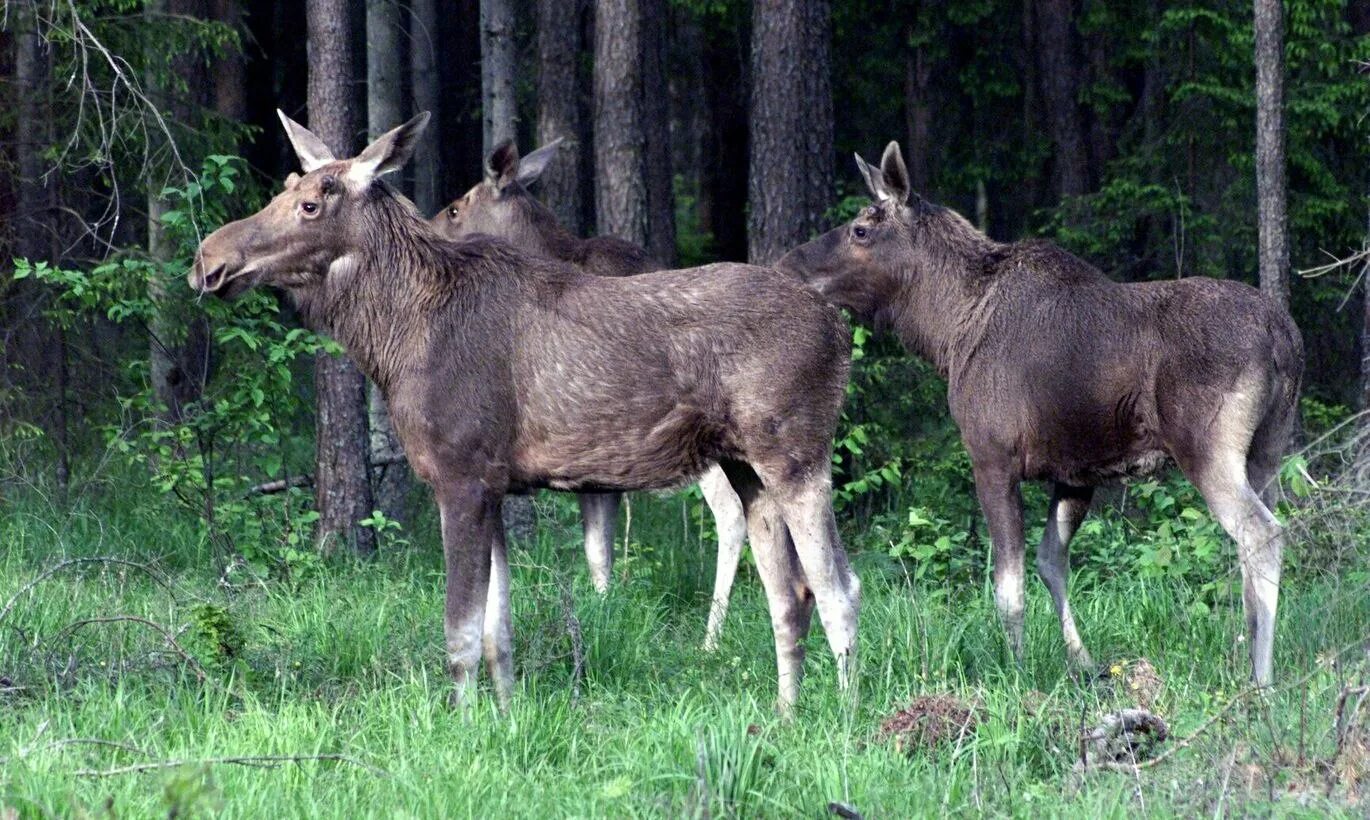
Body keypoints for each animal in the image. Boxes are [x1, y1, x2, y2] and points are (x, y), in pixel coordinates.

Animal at [778, 141, 1298, 687]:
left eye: (861, 228)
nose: (788, 266)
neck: (946, 332)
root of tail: (1285, 337)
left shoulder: (992, 458)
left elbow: (1009, 586)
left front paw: (1017, 671)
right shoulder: (1077, 472)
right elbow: (1052, 562)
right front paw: (1083, 663)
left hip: (1209, 448)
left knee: (1262, 533)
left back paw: (1262, 678)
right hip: (1267, 450)